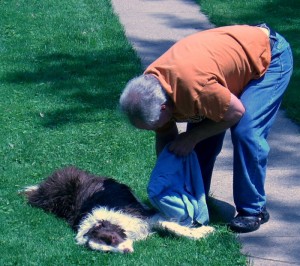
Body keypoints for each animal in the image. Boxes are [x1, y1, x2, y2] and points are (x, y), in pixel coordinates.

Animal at [22, 166, 214, 254]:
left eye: (112, 238)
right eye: (107, 250)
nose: (127, 252)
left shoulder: (145, 216)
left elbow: (174, 227)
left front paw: (204, 231)